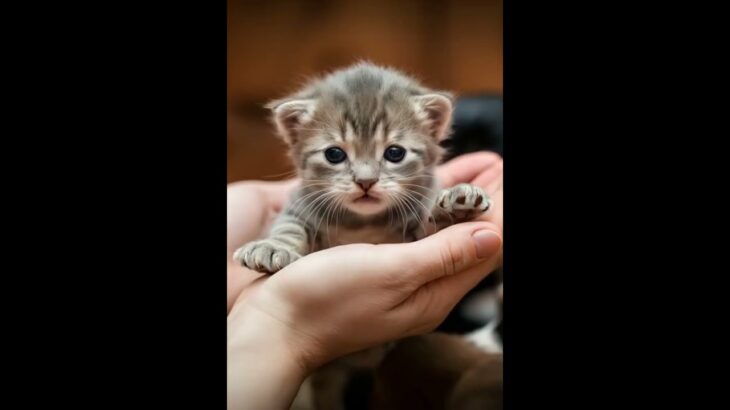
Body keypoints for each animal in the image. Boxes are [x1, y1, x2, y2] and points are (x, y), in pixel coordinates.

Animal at [232, 61, 490, 410]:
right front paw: (272, 248)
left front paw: (455, 202)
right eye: (334, 155)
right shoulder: (301, 206)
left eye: (395, 153)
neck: (362, 223)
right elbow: (288, 226)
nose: (366, 182)